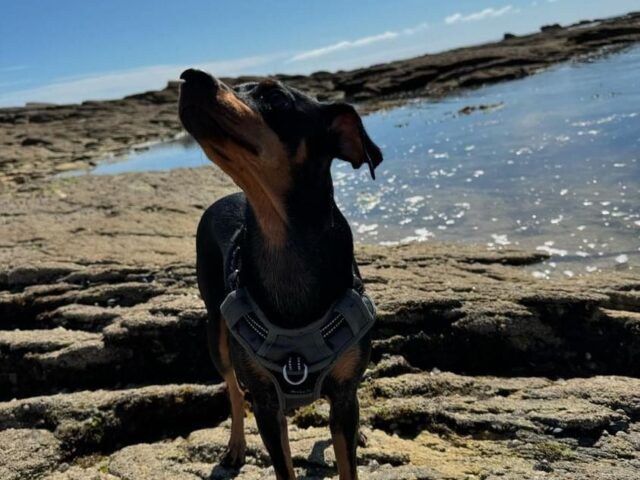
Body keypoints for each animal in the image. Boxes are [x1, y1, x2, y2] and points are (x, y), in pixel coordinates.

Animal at [178, 68, 382, 480]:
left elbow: (347, 459)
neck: (282, 236)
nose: (189, 75)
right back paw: (235, 446)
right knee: (232, 389)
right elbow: (282, 464)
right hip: (216, 332)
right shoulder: (267, 403)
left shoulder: (343, 395)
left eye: (275, 98)